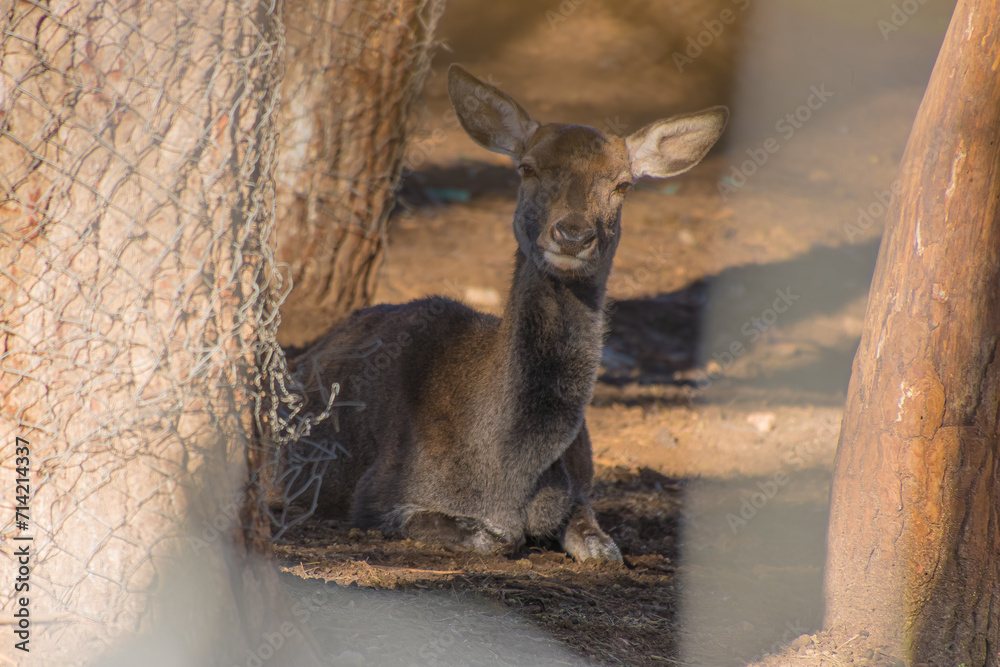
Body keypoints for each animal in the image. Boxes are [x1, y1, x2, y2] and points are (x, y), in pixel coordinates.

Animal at [290, 65, 727, 562]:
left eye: (623, 184)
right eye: (527, 168)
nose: (573, 234)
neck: (505, 472)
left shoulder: (577, 490)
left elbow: (604, 548)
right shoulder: (378, 494)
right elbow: (494, 537)